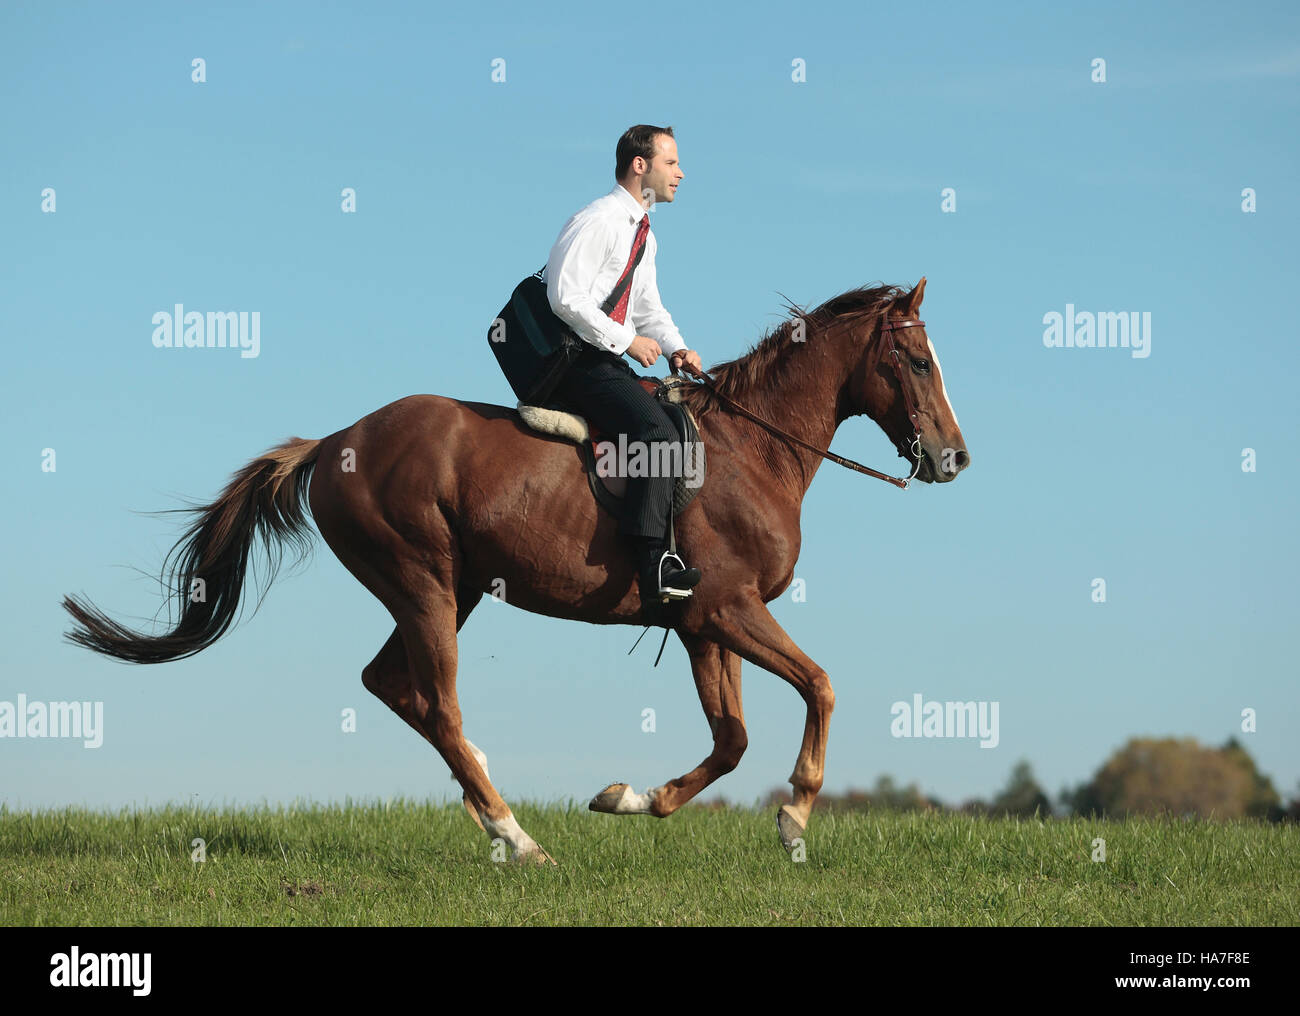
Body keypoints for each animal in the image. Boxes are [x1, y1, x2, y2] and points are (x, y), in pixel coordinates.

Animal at [65, 276, 972, 857]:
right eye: (918, 362)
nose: (955, 459)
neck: (755, 450)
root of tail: (333, 444)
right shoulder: (727, 610)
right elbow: (819, 686)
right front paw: (795, 819)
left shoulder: (703, 624)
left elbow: (733, 739)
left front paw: (631, 798)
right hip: (424, 582)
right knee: (436, 701)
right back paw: (516, 834)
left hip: (453, 589)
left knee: (392, 686)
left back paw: (485, 810)